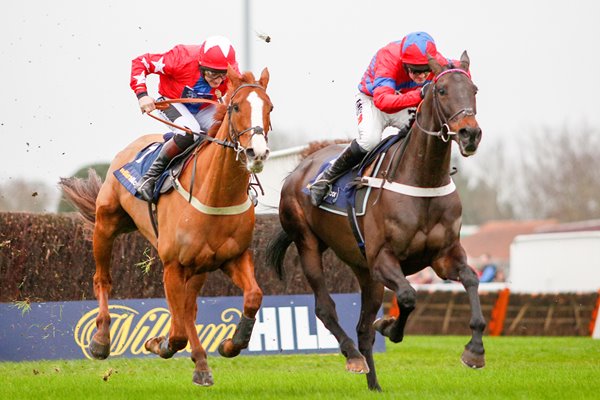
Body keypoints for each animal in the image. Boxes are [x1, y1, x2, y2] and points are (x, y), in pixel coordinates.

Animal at [60, 67, 272, 386]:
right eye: (236, 107)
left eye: (270, 107)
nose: (256, 152)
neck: (216, 195)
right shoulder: (172, 265)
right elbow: (178, 332)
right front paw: (157, 343)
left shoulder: (234, 257)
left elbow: (253, 296)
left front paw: (230, 343)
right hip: (106, 223)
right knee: (102, 279)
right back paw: (101, 339)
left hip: (198, 267)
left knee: (189, 308)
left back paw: (201, 364)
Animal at [268, 53, 482, 390]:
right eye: (442, 90)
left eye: (474, 90)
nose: (469, 134)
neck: (423, 181)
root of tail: (298, 170)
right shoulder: (384, 259)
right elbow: (407, 296)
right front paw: (390, 327)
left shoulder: (444, 256)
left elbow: (471, 279)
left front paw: (475, 350)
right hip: (309, 244)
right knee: (325, 308)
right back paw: (354, 357)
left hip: (364, 270)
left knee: (363, 328)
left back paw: (374, 384)